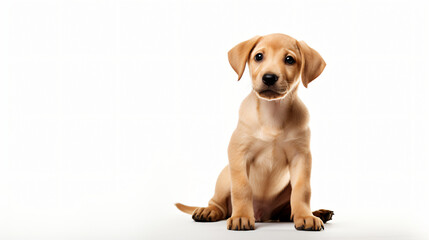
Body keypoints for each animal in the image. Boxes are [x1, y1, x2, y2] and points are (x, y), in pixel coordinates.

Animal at [176, 33, 332, 231]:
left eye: (289, 59)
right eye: (258, 56)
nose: (269, 77)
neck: (272, 115)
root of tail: (262, 215)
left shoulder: (301, 157)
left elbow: (302, 190)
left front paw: (305, 216)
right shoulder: (239, 153)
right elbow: (242, 188)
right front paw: (241, 216)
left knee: (286, 211)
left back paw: (317, 213)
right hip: (225, 176)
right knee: (219, 205)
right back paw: (208, 211)